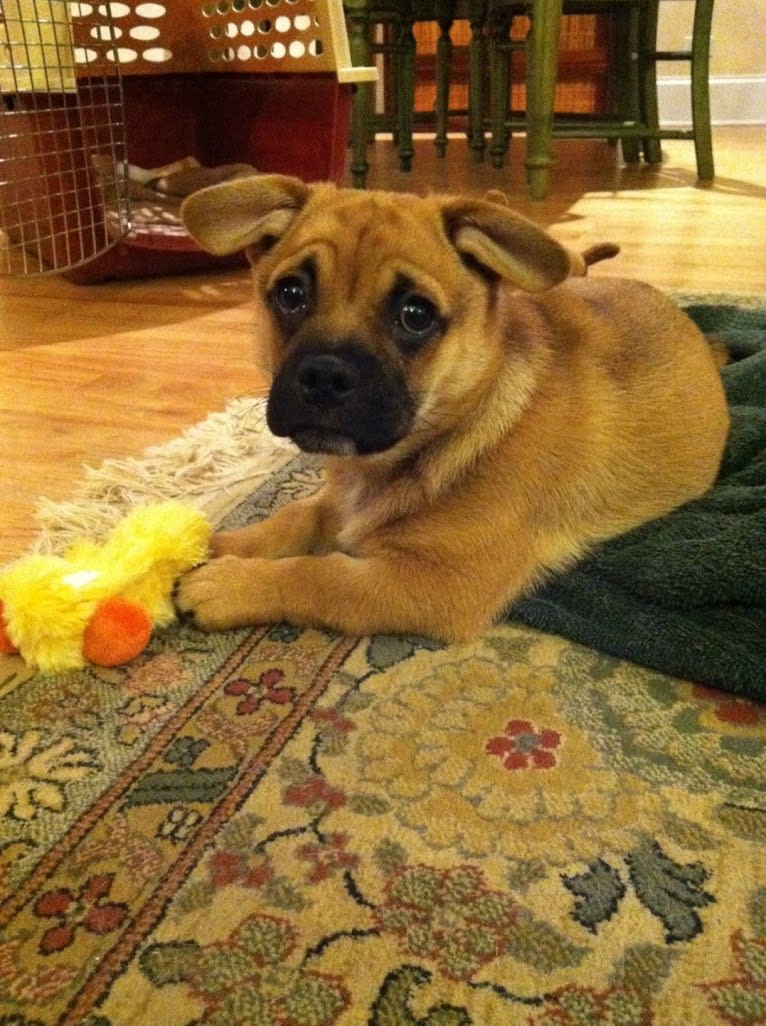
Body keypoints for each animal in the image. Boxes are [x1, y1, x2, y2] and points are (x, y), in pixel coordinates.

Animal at [176, 176, 734, 640]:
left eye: (416, 314)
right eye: (291, 293)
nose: (325, 377)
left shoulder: (435, 584)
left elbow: (320, 575)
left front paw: (229, 585)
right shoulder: (336, 505)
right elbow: (293, 518)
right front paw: (217, 546)